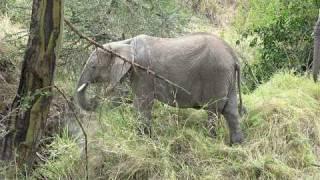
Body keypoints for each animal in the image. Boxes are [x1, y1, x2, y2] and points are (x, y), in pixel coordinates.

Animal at [76, 32, 244, 144]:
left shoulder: (143, 73)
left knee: (213, 111)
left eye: (93, 66)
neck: (124, 43)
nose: (95, 99)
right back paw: (236, 145)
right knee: (231, 111)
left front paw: (143, 141)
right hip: (227, 78)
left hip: (216, 75)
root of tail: (233, 56)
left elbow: (142, 104)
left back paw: (211, 141)